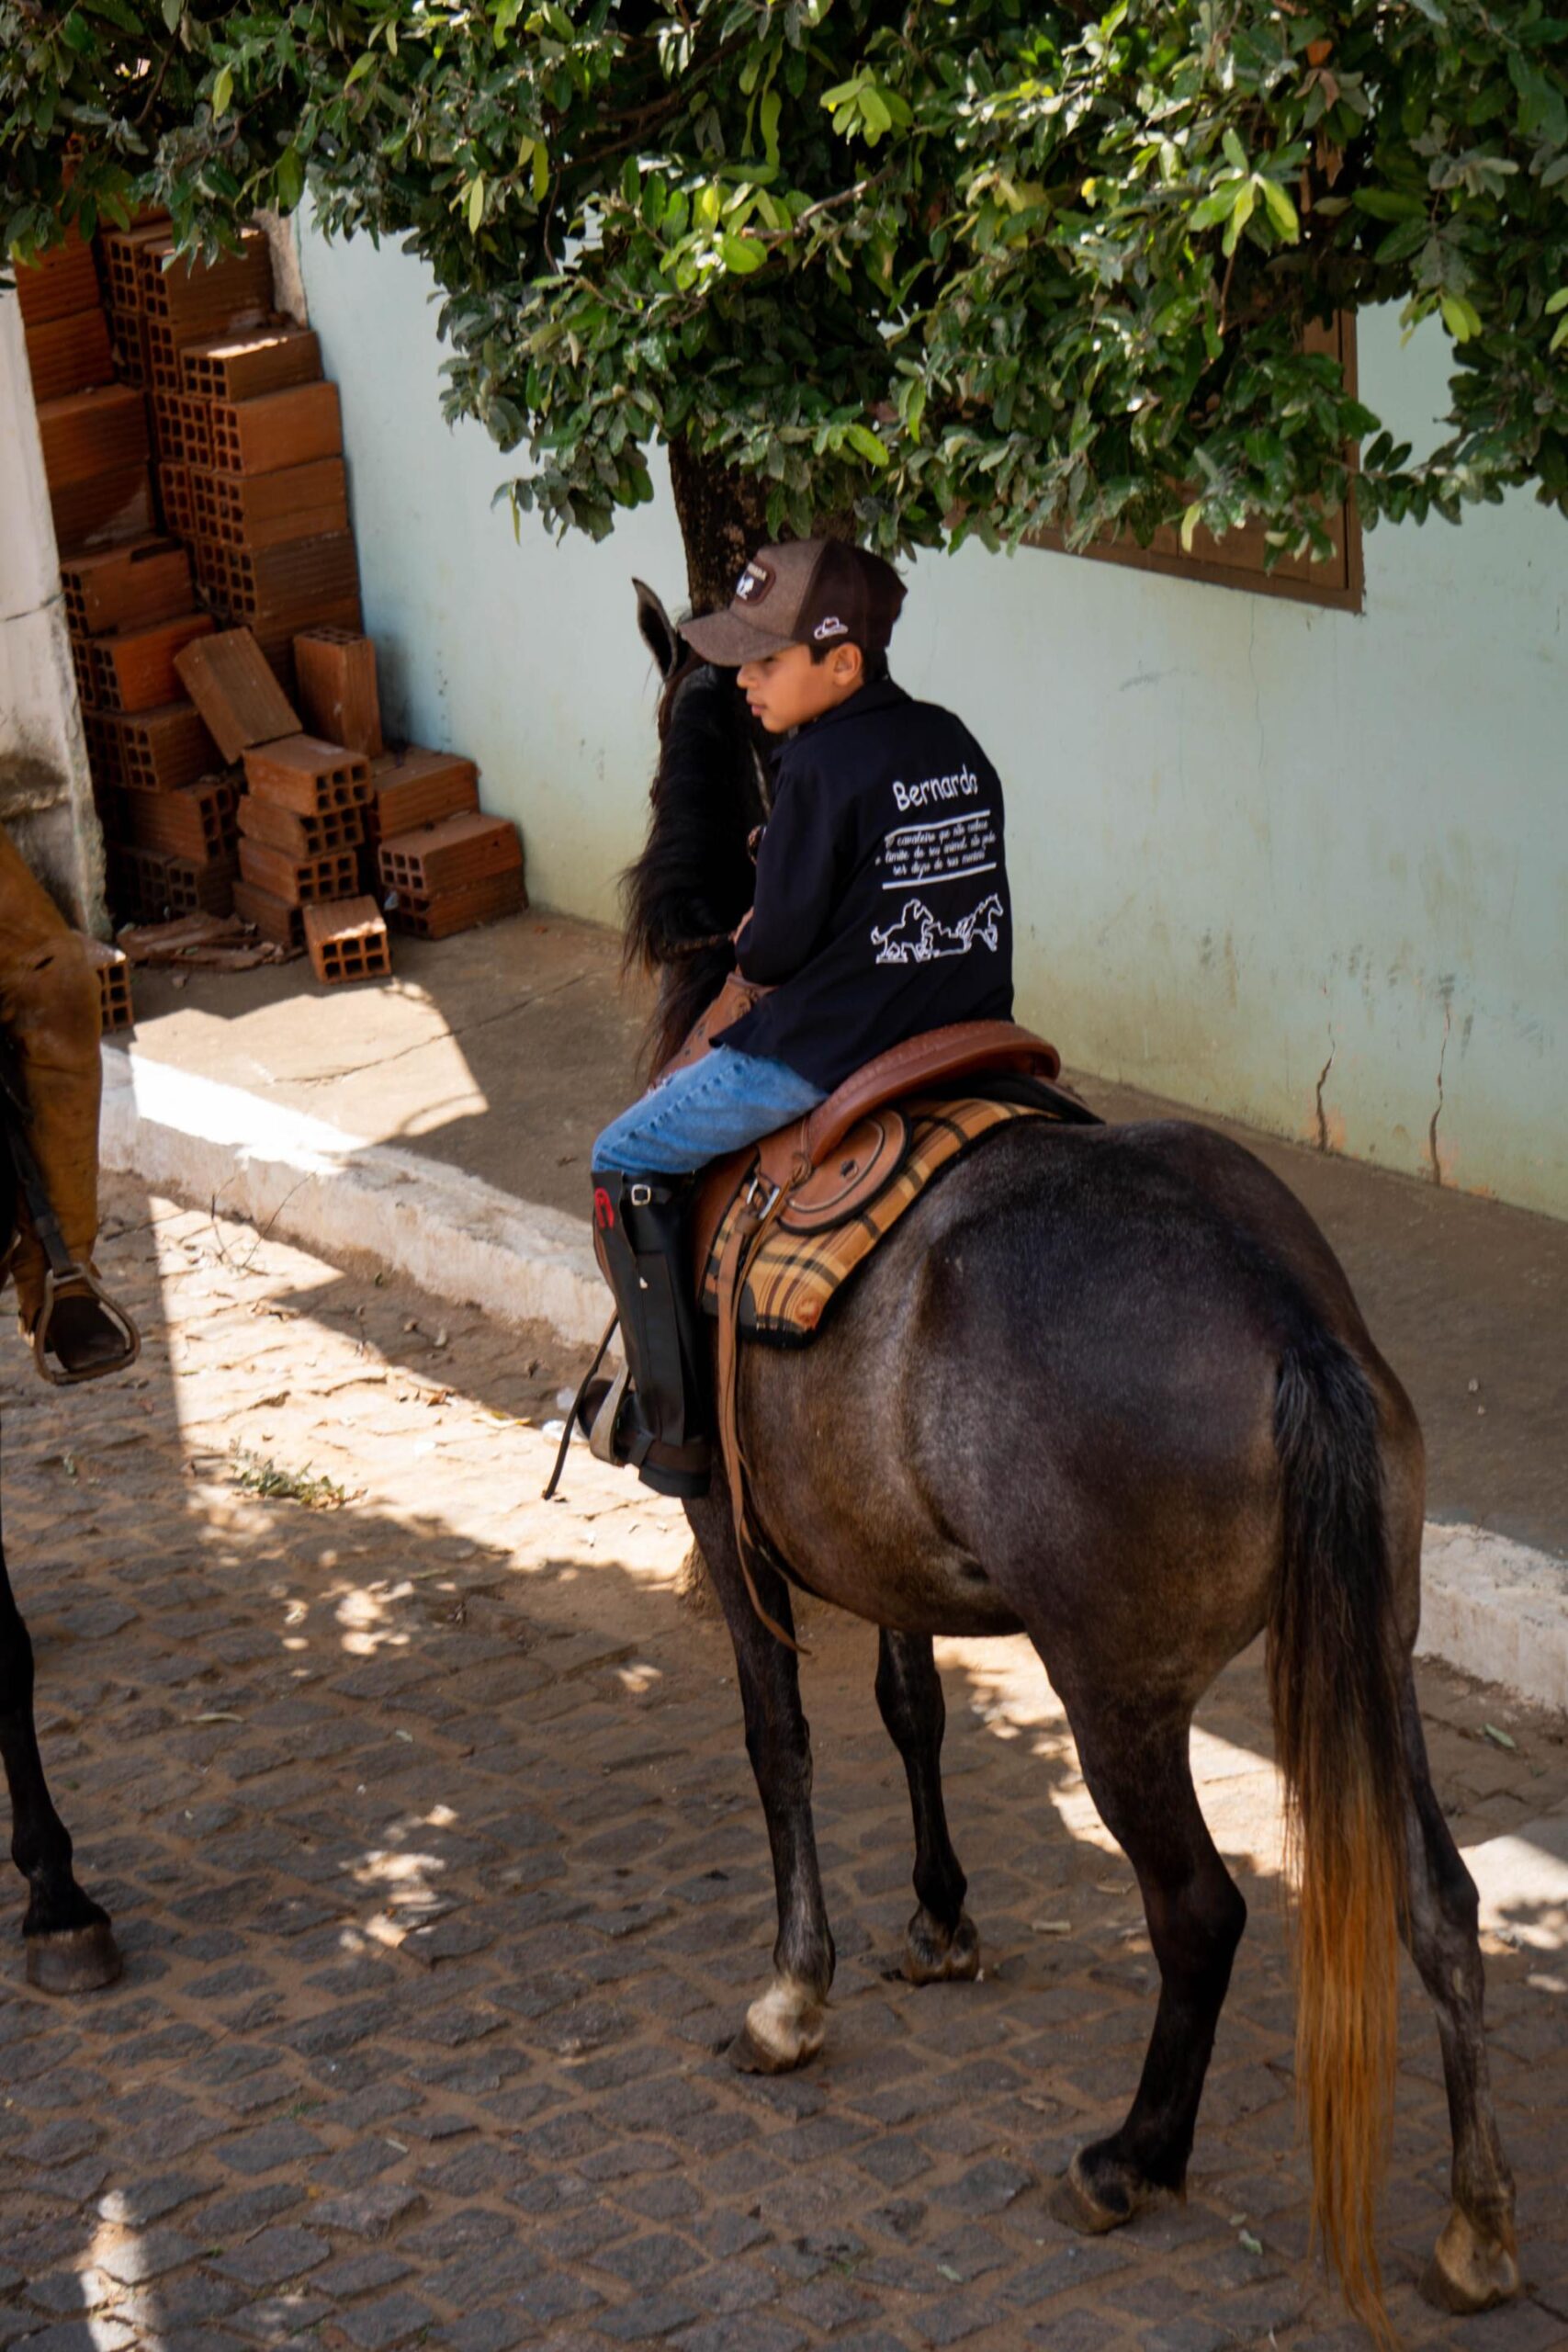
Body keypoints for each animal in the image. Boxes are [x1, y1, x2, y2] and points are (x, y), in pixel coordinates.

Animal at [621, 582, 1519, 2339]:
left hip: (1115, 1690)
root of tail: (1277, 1319)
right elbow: (905, 1706)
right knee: (1437, 1903)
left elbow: (781, 1743)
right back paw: (1468, 2225)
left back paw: (1131, 2157)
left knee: (1201, 1910)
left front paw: (793, 1995)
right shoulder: (868, 1536)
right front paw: (939, 1918)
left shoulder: (724, 1522)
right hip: (1373, 1645)